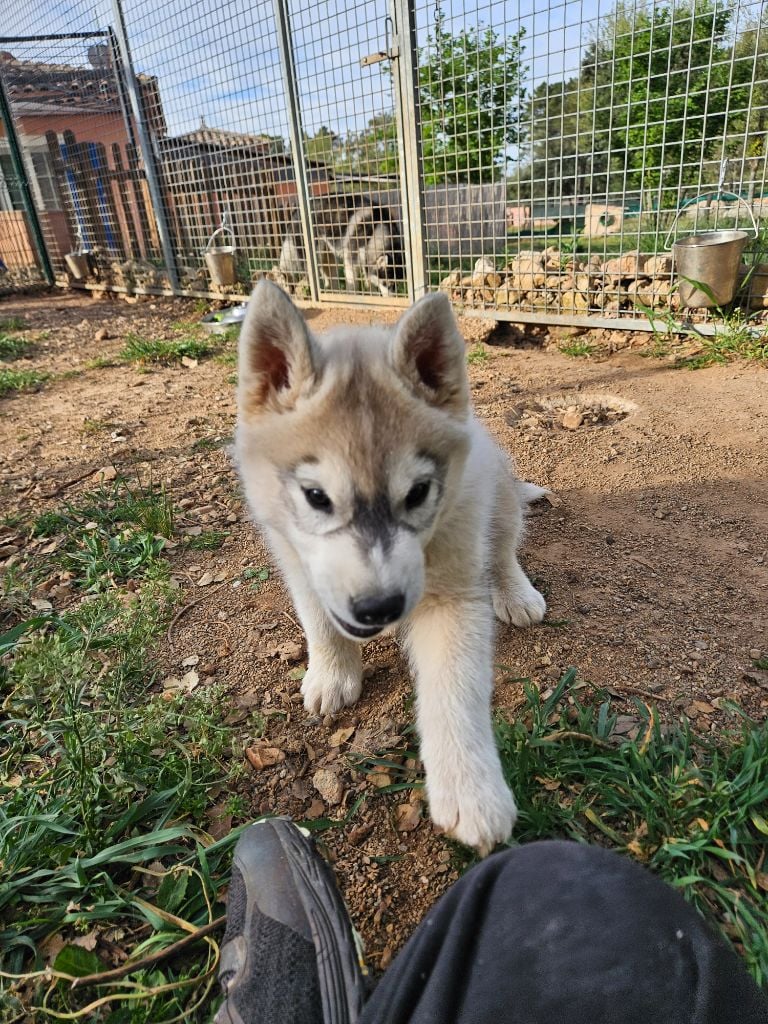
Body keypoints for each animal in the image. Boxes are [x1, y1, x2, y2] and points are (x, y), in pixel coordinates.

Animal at [234, 278, 548, 847]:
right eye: (316, 497)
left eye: (418, 493)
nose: (379, 608)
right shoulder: (297, 561)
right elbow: (320, 624)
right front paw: (332, 675)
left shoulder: (453, 593)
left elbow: (455, 688)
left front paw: (471, 792)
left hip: (497, 494)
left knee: (503, 547)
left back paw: (516, 593)